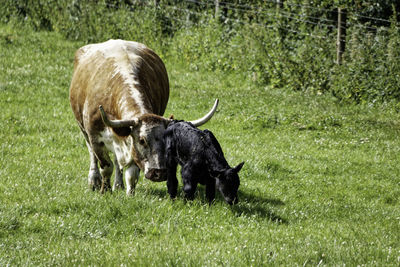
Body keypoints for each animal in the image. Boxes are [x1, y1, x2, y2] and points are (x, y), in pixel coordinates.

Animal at [69, 39, 219, 195]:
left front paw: (129, 194)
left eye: (166, 140)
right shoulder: (95, 138)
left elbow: (132, 173)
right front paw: (105, 190)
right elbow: (106, 167)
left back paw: (118, 184)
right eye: (142, 140)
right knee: (93, 155)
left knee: (117, 161)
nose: (159, 173)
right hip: (83, 129)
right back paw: (94, 180)